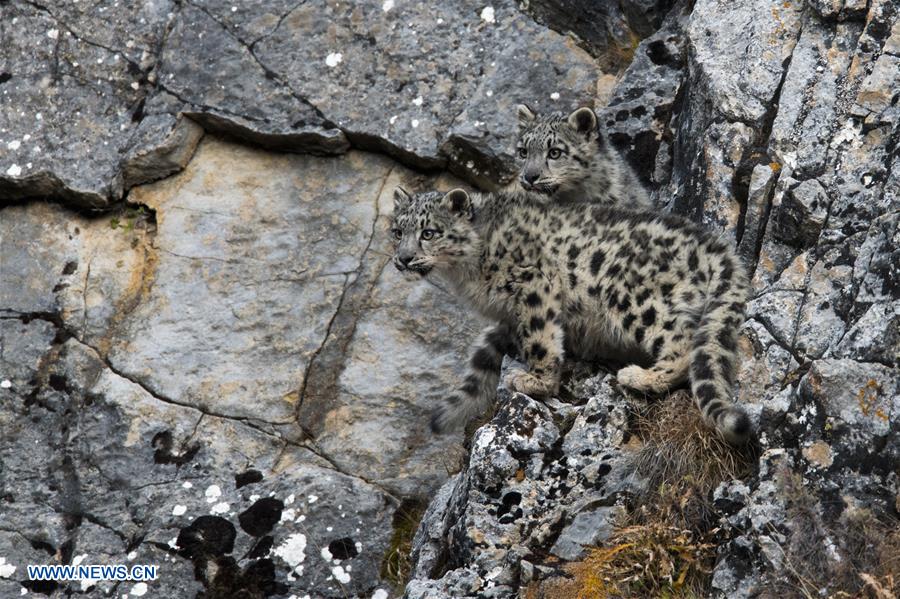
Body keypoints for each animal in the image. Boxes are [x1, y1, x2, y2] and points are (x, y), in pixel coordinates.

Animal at [390, 186, 751, 445]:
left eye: (429, 232)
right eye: (396, 231)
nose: (403, 258)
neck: (465, 274)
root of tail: (713, 244)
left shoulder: (534, 283)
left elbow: (539, 336)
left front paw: (536, 381)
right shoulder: (507, 318)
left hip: (633, 299)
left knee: (682, 339)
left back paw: (641, 376)